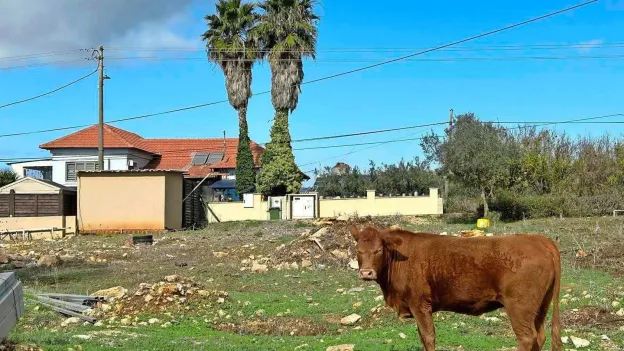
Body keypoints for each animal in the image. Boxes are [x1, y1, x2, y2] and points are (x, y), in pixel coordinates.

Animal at [352, 226, 560, 351]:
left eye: (379, 249)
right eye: (357, 250)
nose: (366, 273)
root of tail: (539, 239)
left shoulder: (420, 305)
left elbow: (428, 336)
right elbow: (422, 337)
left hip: (519, 307)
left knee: (526, 337)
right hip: (540, 306)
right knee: (540, 337)